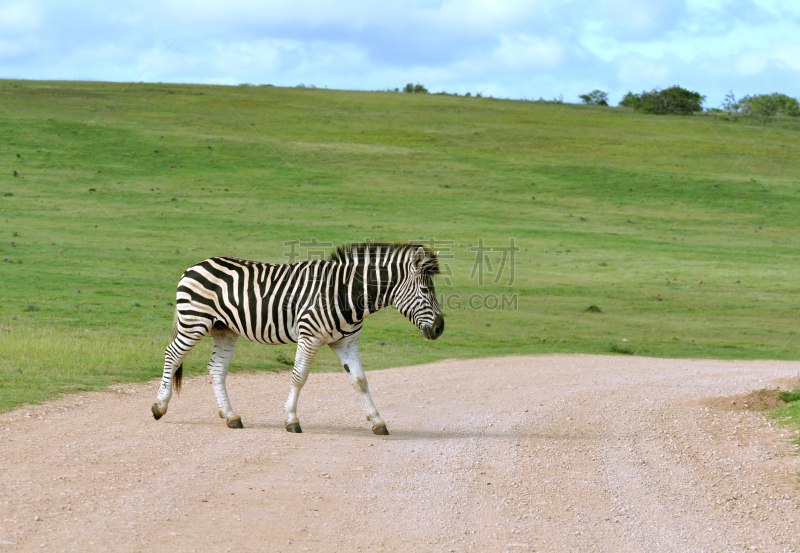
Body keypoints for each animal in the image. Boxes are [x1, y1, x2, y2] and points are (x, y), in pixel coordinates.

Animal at [150, 242, 444, 436]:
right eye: (425, 290)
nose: (440, 329)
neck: (346, 293)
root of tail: (194, 266)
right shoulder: (309, 336)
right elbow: (299, 377)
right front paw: (291, 420)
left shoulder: (346, 342)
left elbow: (360, 381)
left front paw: (378, 421)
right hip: (194, 322)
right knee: (172, 355)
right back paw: (159, 407)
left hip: (225, 330)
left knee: (216, 369)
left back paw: (231, 416)